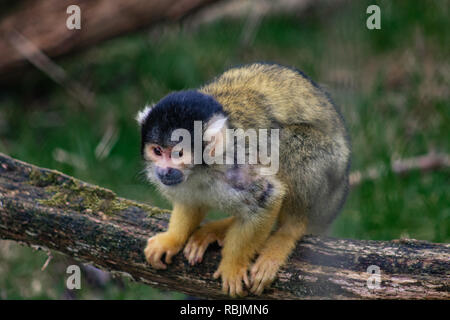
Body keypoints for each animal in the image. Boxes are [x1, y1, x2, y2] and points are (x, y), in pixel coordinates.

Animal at [137, 62, 352, 298]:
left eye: (178, 154)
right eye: (157, 151)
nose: (164, 171)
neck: (201, 170)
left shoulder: (237, 163)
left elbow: (268, 195)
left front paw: (233, 266)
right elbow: (190, 202)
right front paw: (172, 239)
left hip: (331, 174)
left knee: (286, 141)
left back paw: (287, 232)